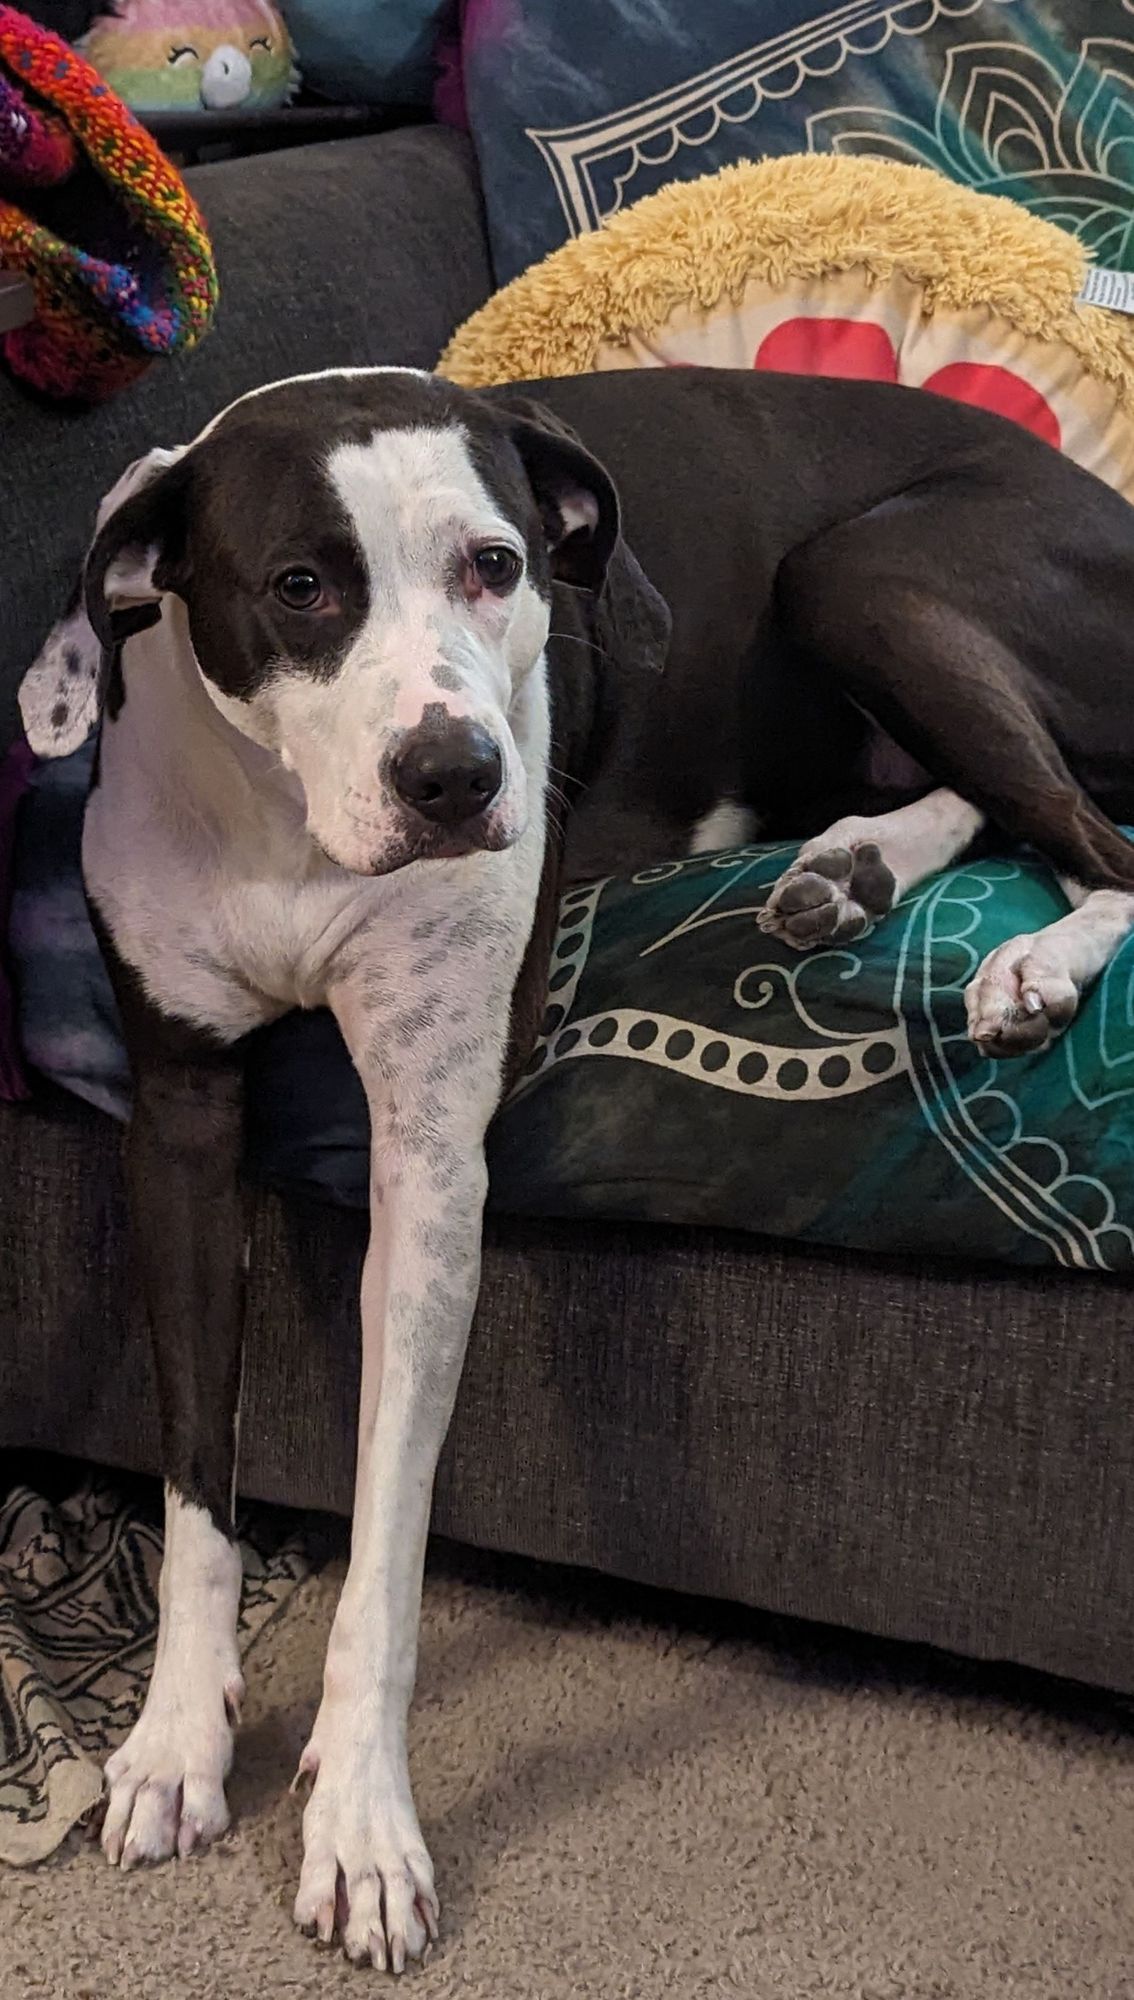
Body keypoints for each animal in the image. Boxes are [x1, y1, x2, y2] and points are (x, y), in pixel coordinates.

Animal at [20, 364, 1134, 1968]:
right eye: (298, 587)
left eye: (498, 564)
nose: (455, 776)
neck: (288, 830)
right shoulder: (177, 1114)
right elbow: (190, 1478)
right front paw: (174, 1739)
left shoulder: (429, 1153)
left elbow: (387, 1541)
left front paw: (361, 1822)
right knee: (991, 800)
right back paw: (847, 869)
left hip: (871, 570)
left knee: (1103, 837)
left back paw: (1032, 965)